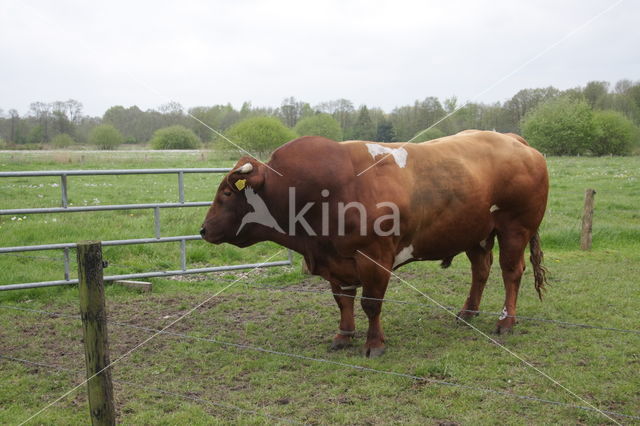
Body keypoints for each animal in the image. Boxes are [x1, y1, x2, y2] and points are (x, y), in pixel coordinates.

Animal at [201, 130, 552, 356]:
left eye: (227, 192)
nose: (203, 230)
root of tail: (514, 139)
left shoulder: (374, 257)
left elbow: (371, 303)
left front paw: (374, 344)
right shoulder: (335, 260)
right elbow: (343, 300)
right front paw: (343, 336)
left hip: (515, 228)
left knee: (511, 272)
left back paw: (505, 322)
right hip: (475, 232)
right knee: (481, 269)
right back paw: (467, 313)